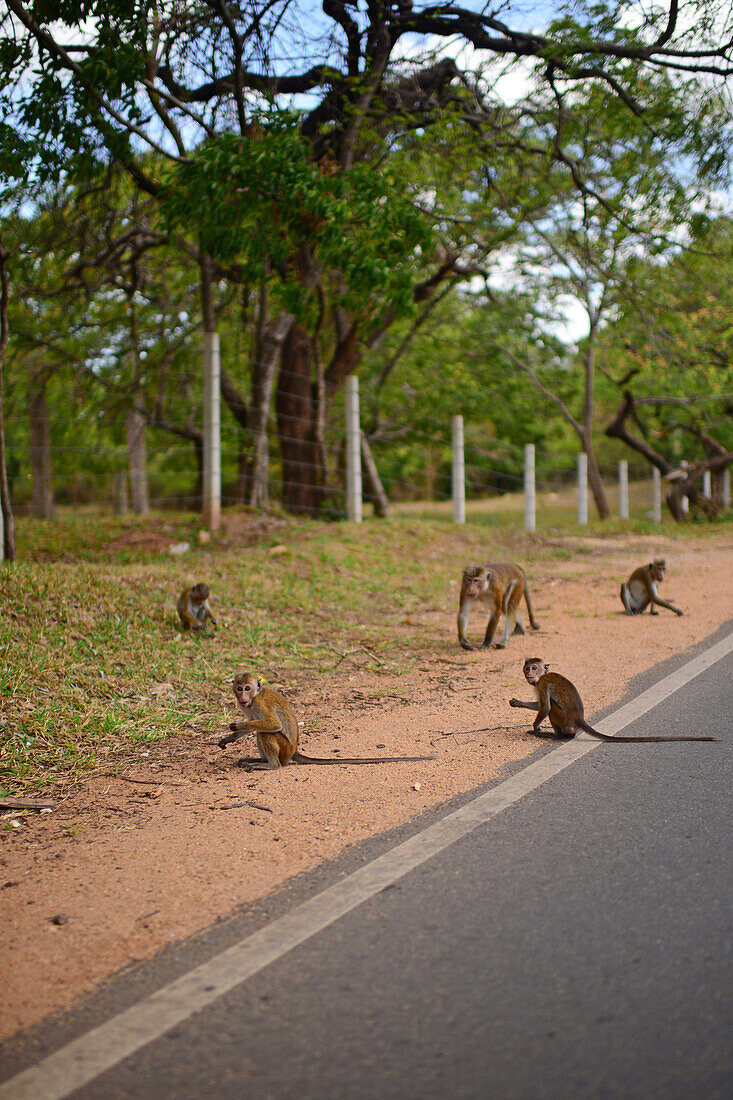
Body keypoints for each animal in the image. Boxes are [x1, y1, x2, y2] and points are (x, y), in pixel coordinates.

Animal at [216, 673, 433, 770]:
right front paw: (228, 738)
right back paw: (259, 760)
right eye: (239, 688)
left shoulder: (260, 703)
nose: (242, 695)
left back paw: (271, 765)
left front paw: (237, 725)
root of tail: (293, 752)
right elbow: (251, 726)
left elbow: (274, 725)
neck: (253, 699)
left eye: (247, 688)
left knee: (265, 732)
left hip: (284, 749)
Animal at [508, 655, 713, 743]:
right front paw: (517, 703)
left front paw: (536, 727)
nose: (528, 673)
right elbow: (539, 705)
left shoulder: (542, 683)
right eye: (527, 668)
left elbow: (545, 708)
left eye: (534, 668)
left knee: (553, 710)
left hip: (563, 718)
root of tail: (579, 719)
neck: (541, 677)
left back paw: (555, 735)